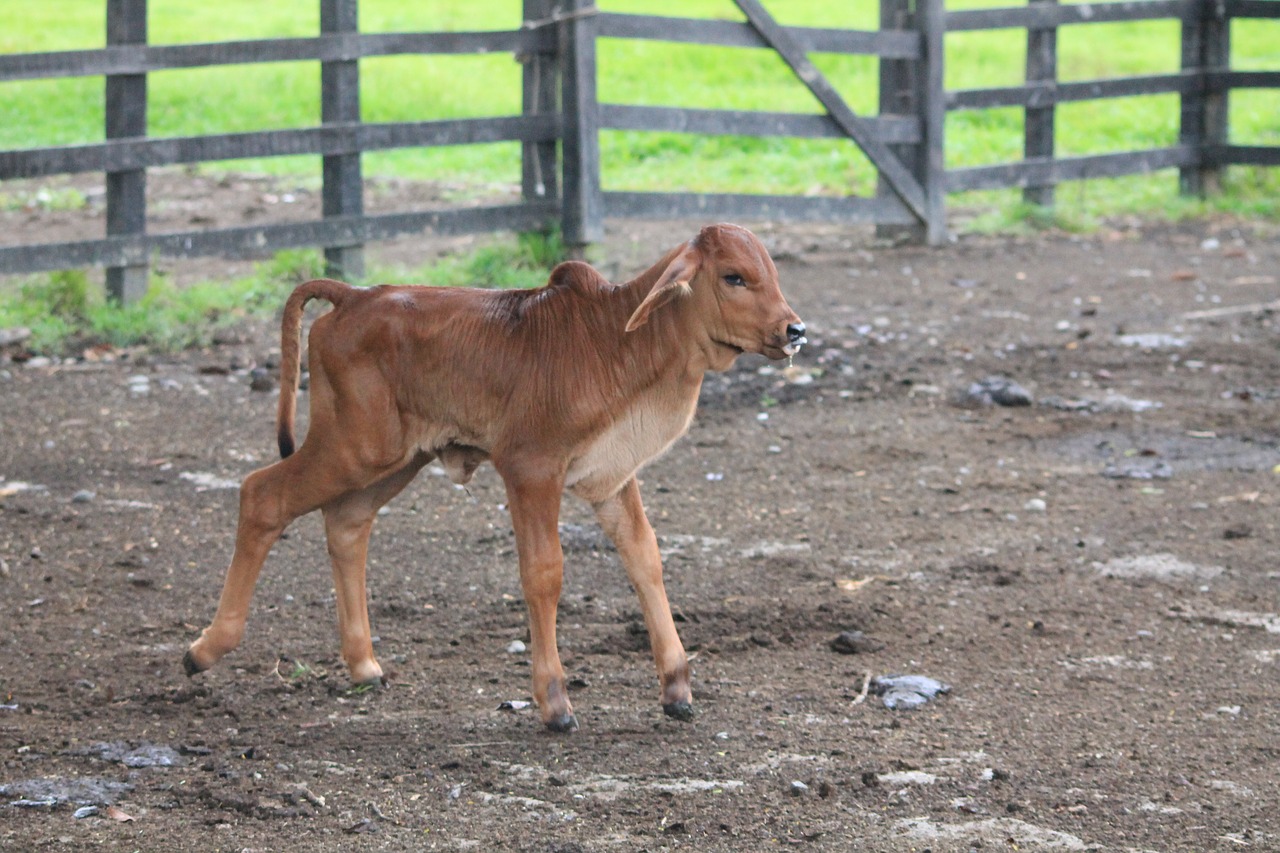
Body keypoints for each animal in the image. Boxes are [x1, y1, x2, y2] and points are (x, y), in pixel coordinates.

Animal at [185, 222, 803, 727]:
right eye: (734, 277)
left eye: (771, 274)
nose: (794, 330)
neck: (615, 341)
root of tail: (354, 296)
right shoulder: (530, 470)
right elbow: (544, 573)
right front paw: (554, 701)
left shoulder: (612, 476)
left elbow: (645, 558)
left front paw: (676, 688)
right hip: (352, 447)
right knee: (262, 495)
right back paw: (205, 648)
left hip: (395, 459)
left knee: (347, 522)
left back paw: (364, 664)